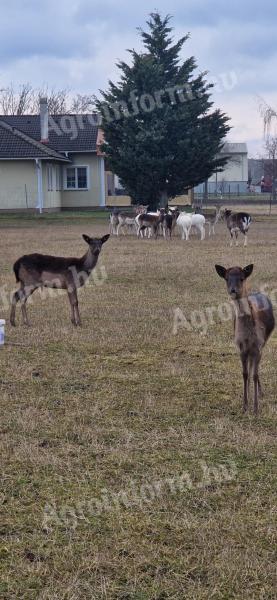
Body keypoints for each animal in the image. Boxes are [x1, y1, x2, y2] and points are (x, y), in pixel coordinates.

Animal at [215, 264, 272, 414]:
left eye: (241, 278)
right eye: (226, 278)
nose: (233, 290)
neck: (248, 336)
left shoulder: (258, 346)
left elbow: (255, 374)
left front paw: (256, 408)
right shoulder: (241, 347)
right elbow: (245, 374)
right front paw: (245, 405)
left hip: (263, 344)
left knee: (254, 368)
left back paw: (260, 392)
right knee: (250, 368)